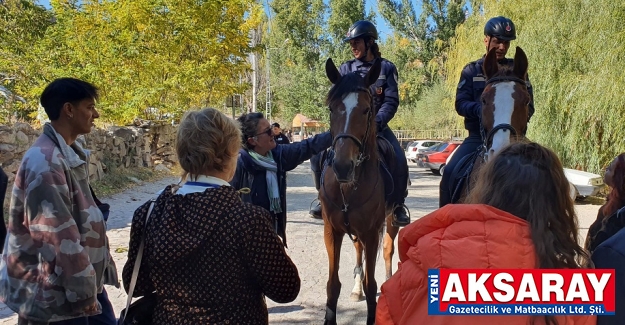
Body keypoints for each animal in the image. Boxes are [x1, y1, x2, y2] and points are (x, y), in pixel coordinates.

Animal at [320, 58, 398, 324]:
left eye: (366, 110)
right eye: (331, 109)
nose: (343, 166)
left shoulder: (372, 232)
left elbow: (371, 284)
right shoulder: (332, 232)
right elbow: (333, 285)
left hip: (390, 220)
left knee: (387, 251)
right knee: (358, 253)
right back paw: (356, 289)